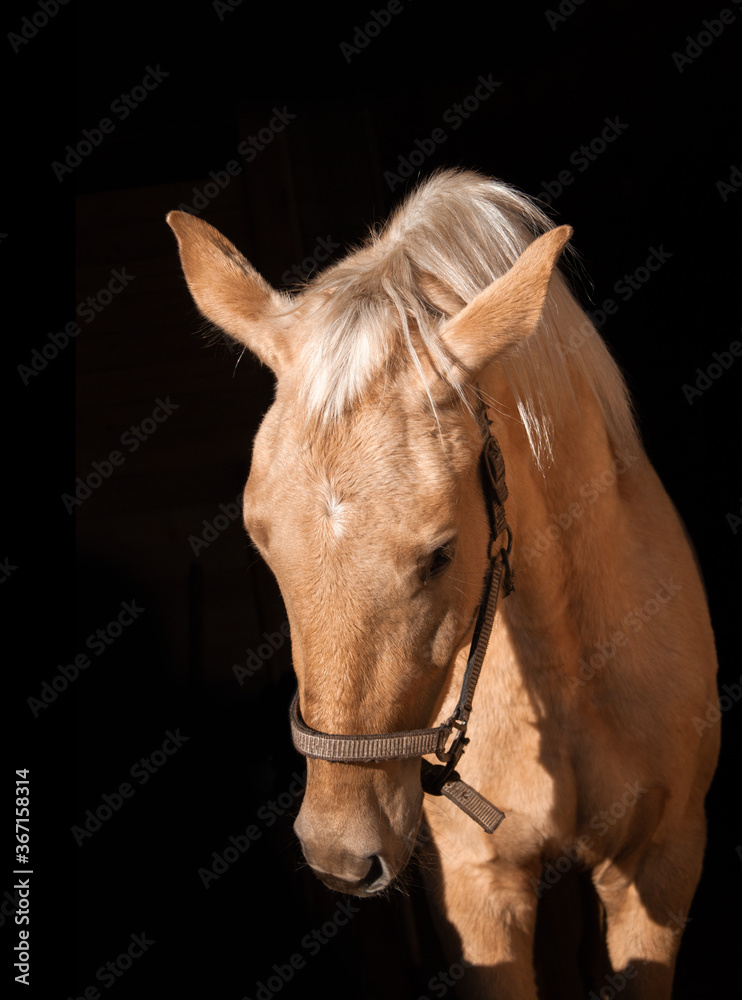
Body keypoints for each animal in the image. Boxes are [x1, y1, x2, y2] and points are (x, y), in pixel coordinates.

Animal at [167, 168, 719, 998]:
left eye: (441, 553)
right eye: (261, 540)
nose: (340, 851)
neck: (568, 670)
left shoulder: (659, 868)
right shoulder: (476, 887)